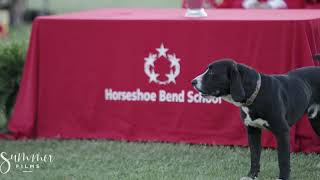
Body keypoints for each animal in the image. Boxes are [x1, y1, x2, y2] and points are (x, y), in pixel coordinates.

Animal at [192, 56, 320, 180]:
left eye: (212, 72)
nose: (193, 81)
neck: (256, 95)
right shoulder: (252, 130)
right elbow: (254, 156)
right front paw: (251, 176)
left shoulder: (282, 132)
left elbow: (283, 160)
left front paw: (283, 178)